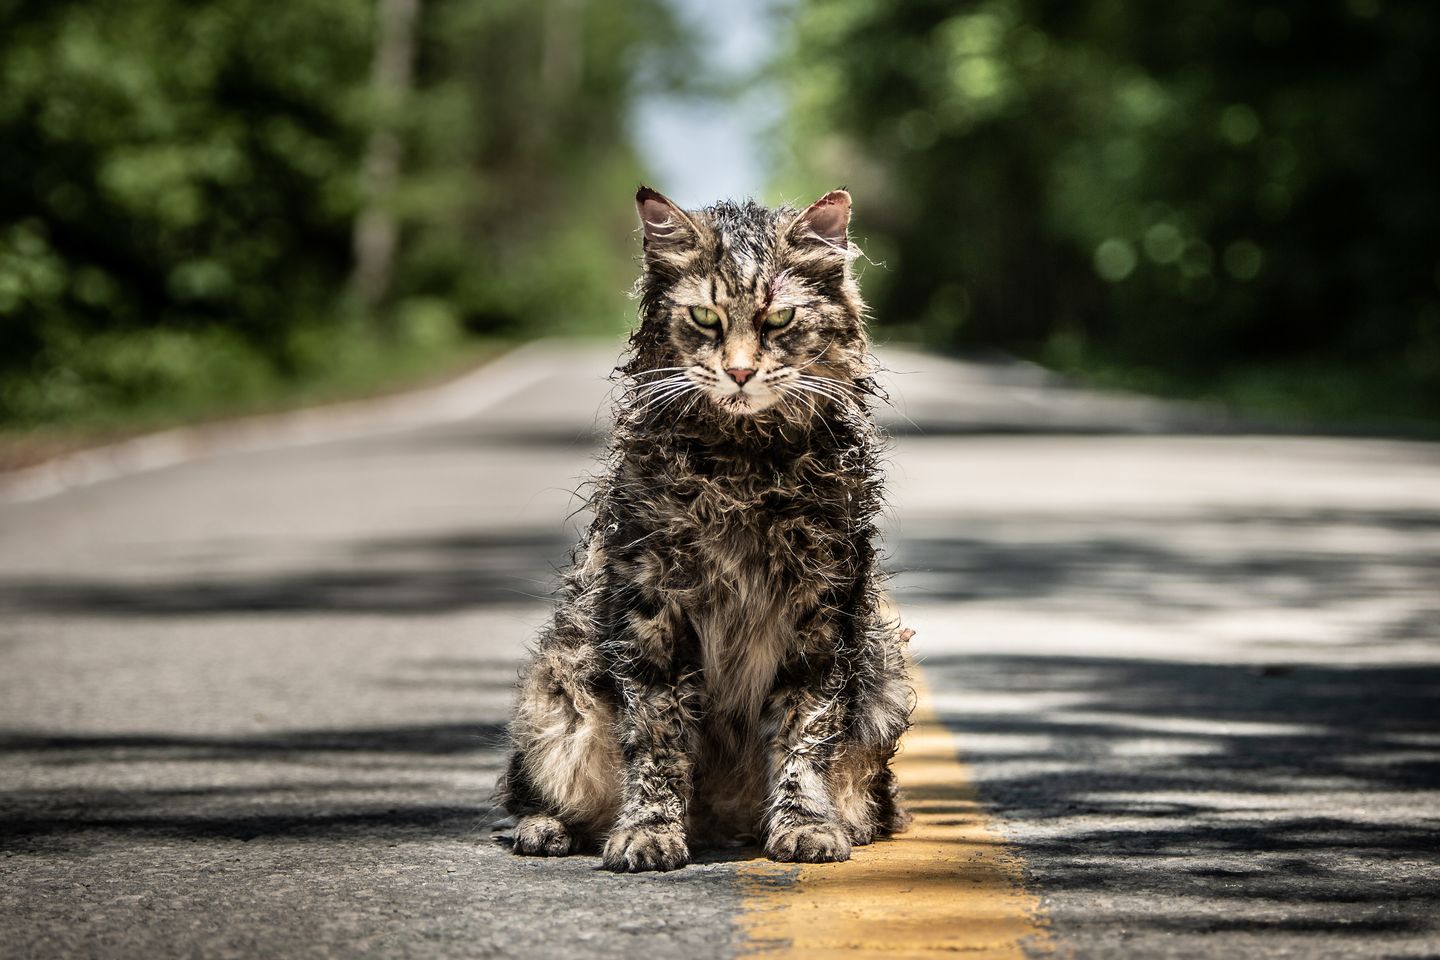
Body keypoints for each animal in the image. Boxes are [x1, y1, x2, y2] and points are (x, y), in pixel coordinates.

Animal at [498, 185, 910, 869]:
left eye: (778, 320)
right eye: (705, 319)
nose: (740, 372)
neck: (744, 468)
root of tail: (721, 825)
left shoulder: (822, 612)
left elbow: (804, 735)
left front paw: (804, 824)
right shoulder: (652, 609)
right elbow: (658, 738)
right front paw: (649, 832)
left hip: (886, 679)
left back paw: (837, 824)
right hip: (555, 691)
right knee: (538, 791)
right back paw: (548, 828)